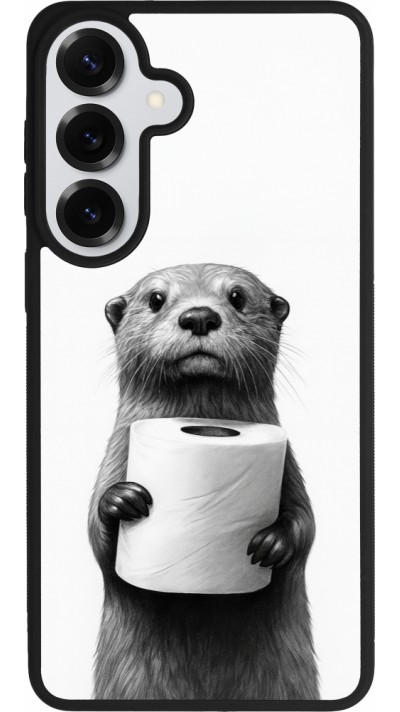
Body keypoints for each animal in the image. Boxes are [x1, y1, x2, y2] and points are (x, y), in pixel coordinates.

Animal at [88, 263, 318, 700]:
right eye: (156, 298)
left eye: (237, 297)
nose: (199, 316)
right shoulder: (114, 457)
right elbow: (96, 536)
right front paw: (121, 501)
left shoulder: (289, 468)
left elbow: (307, 524)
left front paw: (273, 542)